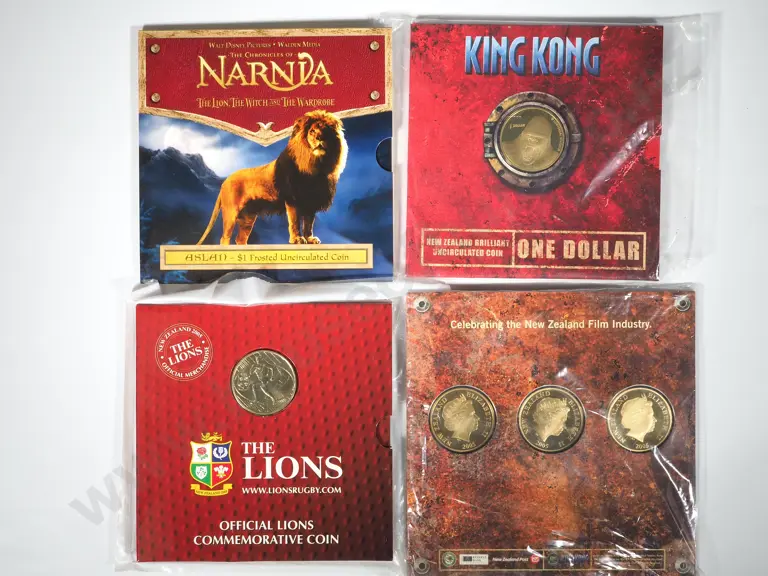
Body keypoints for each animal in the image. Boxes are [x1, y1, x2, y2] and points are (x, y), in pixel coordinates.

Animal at [197, 110, 347, 246]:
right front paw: (297, 239)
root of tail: (225, 181)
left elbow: (309, 224)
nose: (320, 138)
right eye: (312, 131)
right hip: (231, 213)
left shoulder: (311, 202)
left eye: (326, 131)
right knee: (225, 238)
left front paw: (310, 239)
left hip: (248, 217)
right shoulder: (292, 200)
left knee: (240, 239)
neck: (316, 165)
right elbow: (294, 222)